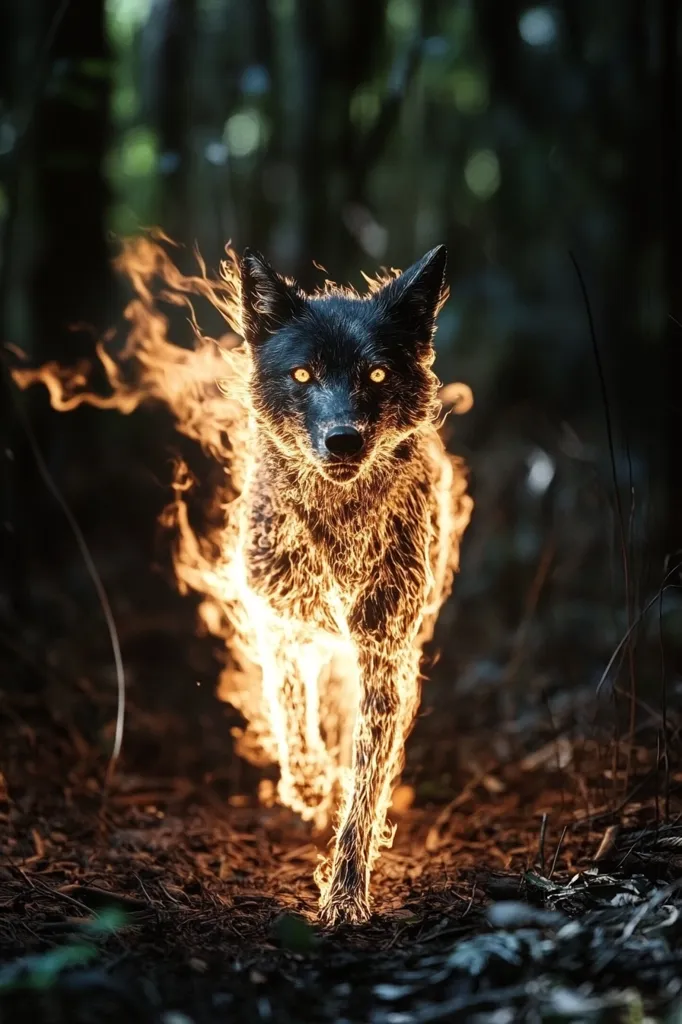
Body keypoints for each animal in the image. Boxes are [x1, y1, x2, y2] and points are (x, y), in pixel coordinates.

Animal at [237, 244, 472, 924]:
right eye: (302, 375)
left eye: (376, 376)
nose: (343, 439)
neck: (338, 523)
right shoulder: (276, 618)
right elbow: (290, 701)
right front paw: (308, 781)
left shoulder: (385, 652)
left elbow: (367, 780)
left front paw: (345, 890)